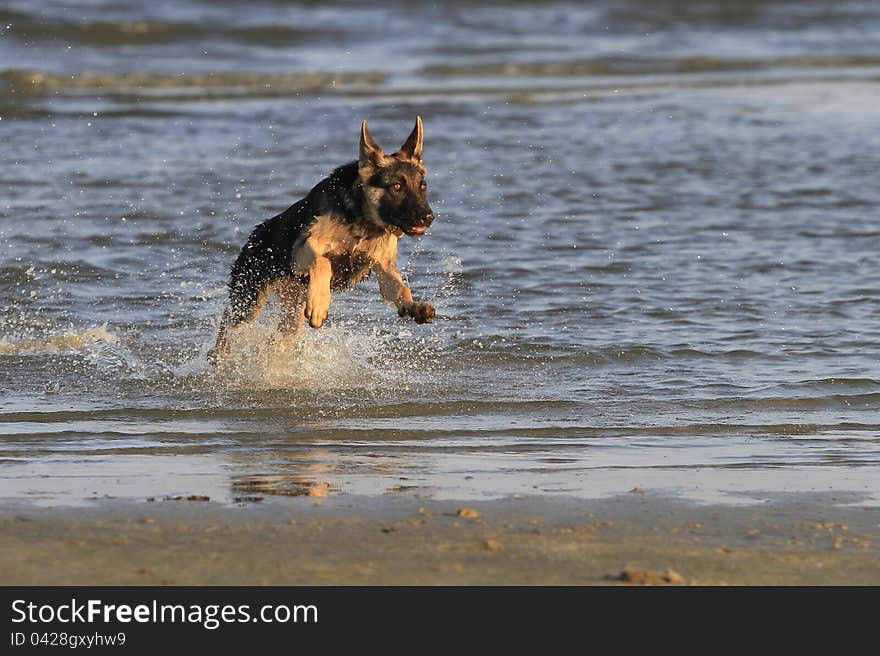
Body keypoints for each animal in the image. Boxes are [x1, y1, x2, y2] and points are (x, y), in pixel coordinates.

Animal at [210, 118, 436, 364]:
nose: (428, 217)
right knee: (227, 329)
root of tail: (255, 235)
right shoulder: (302, 250)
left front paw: (414, 306)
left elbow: (400, 289)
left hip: (292, 314)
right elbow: (323, 262)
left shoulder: (384, 267)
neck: (361, 219)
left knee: (279, 338)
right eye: (396, 186)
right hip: (248, 304)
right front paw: (319, 303)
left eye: (422, 186)